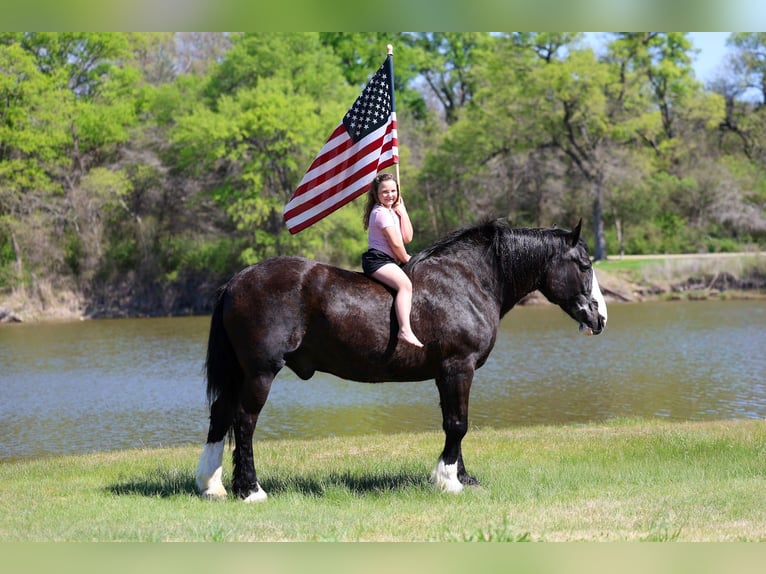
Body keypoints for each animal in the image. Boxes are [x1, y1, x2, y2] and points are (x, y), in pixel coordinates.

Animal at [195, 219, 607, 502]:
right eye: (585, 265)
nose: (599, 317)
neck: (466, 281)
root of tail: (236, 280)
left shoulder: (446, 375)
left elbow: (452, 423)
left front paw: (462, 476)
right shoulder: (458, 368)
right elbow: (458, 424)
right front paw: (448, 481)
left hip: (239, 372)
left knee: (220, 415)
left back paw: (211, 485)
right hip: (260, 373)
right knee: (244, 422)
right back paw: (250, 490)